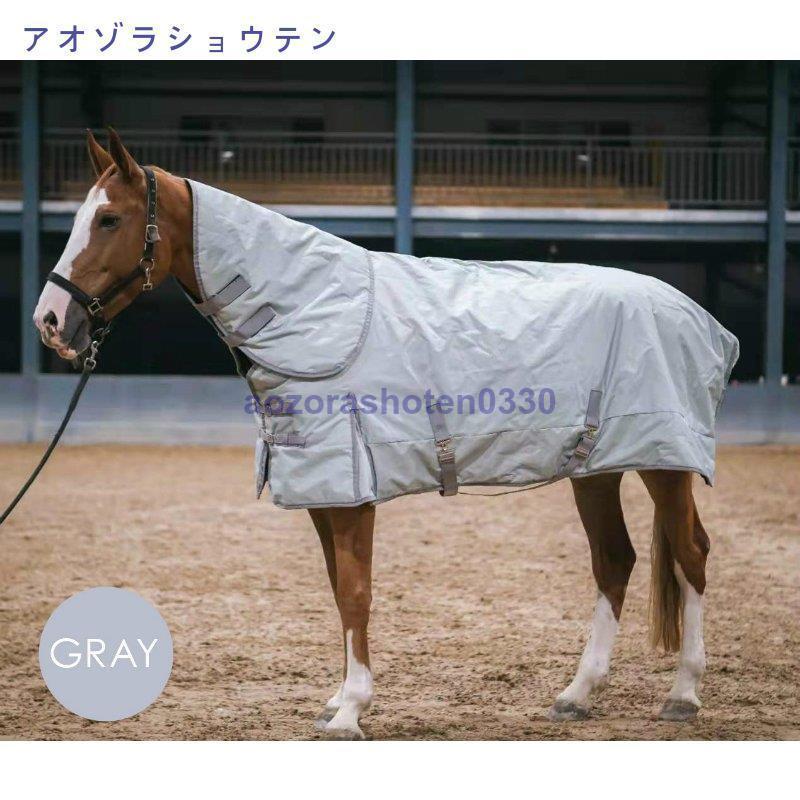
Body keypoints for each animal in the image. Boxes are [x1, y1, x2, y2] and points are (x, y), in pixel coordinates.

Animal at [33, 129, 713, 739]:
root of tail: (692, 313)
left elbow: (356, 592)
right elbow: (338, 589)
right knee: (615, 560)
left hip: (664, 464)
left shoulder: (352, 488)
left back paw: (682, 695)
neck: (312, 310)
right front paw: (338, 701)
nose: (50, 320)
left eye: (110, 220)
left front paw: (352, 711)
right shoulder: (321, 490)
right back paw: (576, 694)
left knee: (690, 555)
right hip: (596, 468)